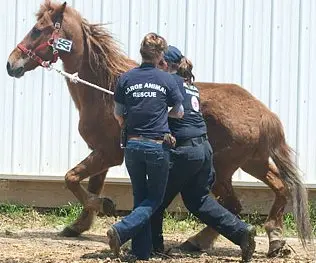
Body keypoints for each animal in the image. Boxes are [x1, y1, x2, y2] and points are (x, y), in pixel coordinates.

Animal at [6, 0, 312, 258]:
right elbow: (88, 184)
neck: (105, 89)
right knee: (280, 188)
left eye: (38, 29)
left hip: (223, 169)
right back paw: (274, 238)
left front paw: (104, 206)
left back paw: (199, 242)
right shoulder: (102, 154)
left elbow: (70, 178)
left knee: (233, 206)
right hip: (253, 162)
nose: (11, 64)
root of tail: (265, 114)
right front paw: (78, 225)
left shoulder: (108, 154)